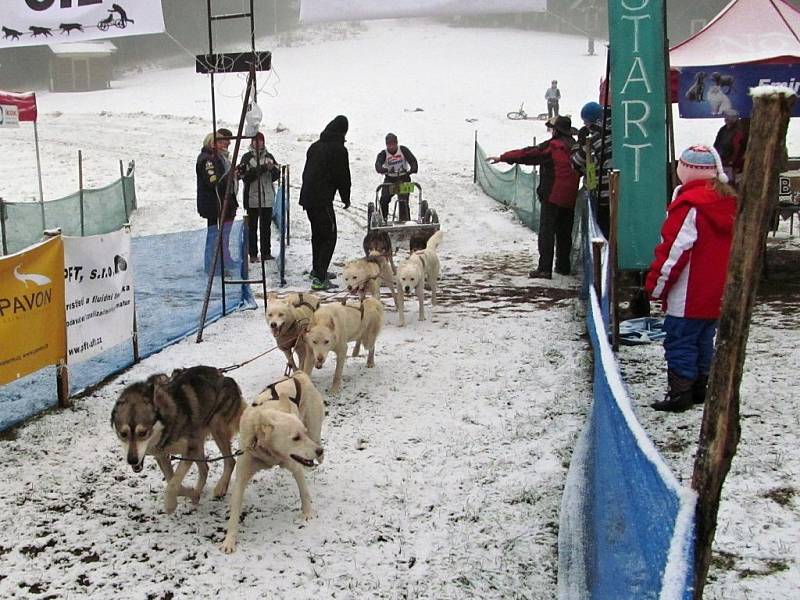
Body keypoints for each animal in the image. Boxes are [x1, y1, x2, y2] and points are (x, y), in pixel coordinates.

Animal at [111, 368, 245, 512]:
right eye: (123, 434)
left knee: (230, 461)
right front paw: (192, 494)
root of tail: (225, 376)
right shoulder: (162, 456)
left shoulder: (190, 449)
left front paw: (170, 504)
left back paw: (221, 486)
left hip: (215, 426)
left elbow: (173, 483)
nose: (132, 460)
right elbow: (172, 481)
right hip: (199, 442)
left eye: (142, 433)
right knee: (205, 469)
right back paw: (197, 491)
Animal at [219, 372, 324, 556]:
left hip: (315, 431)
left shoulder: (295, 466)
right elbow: (234, 511)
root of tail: (299, 375)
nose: (319, 451)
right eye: (296, 438)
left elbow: (303, 492)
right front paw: (229, 540)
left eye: (303, 433)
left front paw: (308, 513)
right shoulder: (241, 478)